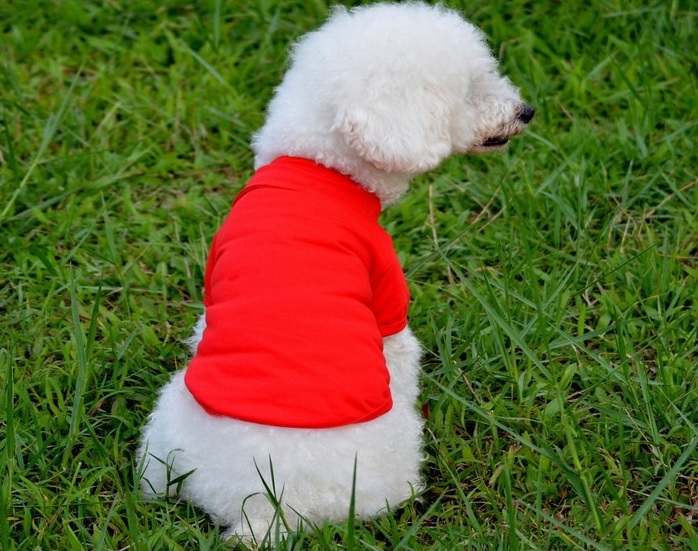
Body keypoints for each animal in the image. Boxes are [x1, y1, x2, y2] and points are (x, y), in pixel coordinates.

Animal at [136, 1, 532, 544]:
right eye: (469, 90)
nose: (526, 111)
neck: (320, 166)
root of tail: (261, 509)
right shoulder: (387, 302)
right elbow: (401, 357)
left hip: (168, 422)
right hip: (386, 462)